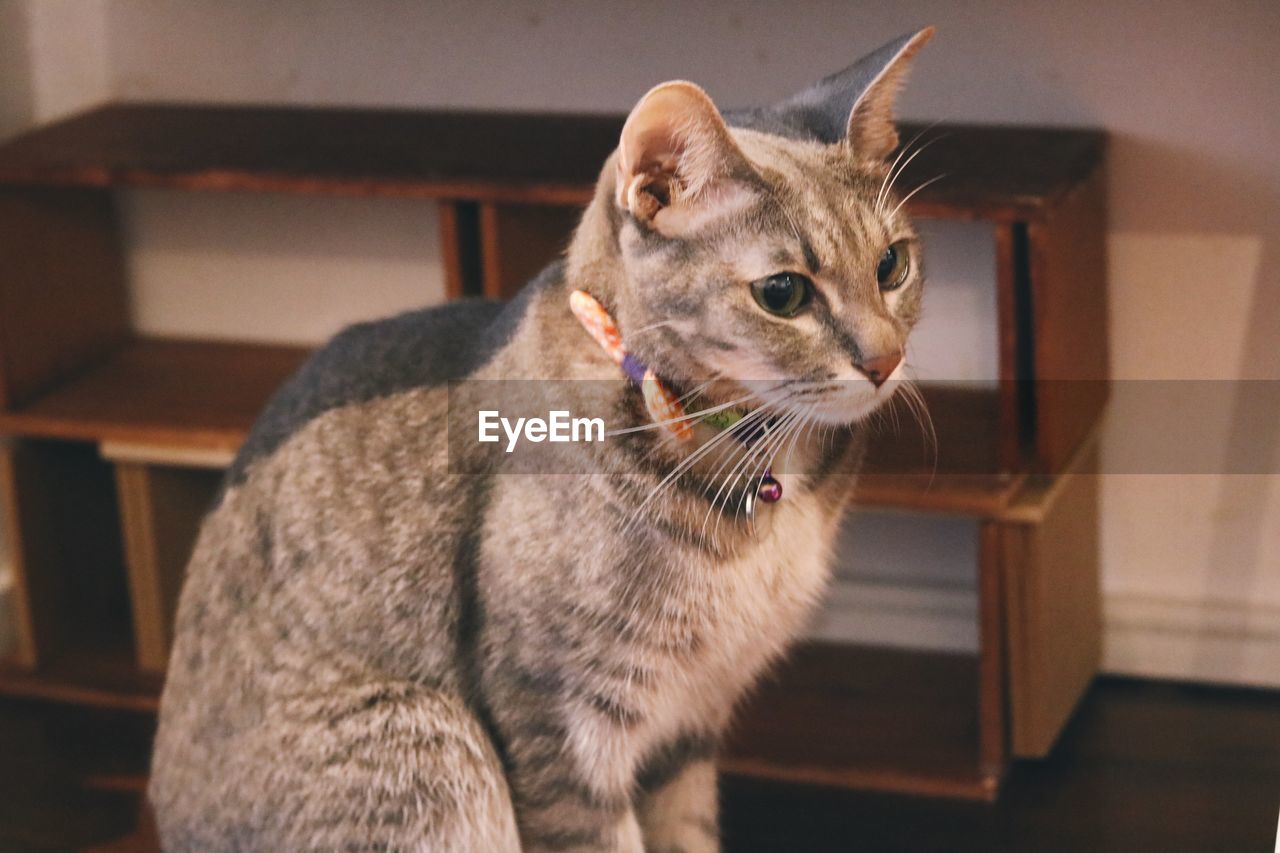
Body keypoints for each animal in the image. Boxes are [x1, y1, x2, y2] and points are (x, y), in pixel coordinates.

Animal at [149, 26, 936, 850]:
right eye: (782, 293)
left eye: (892, 264)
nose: (885, 360)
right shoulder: (560, 722)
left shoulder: (690, 723)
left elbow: (688, 830)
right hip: (433, 742)